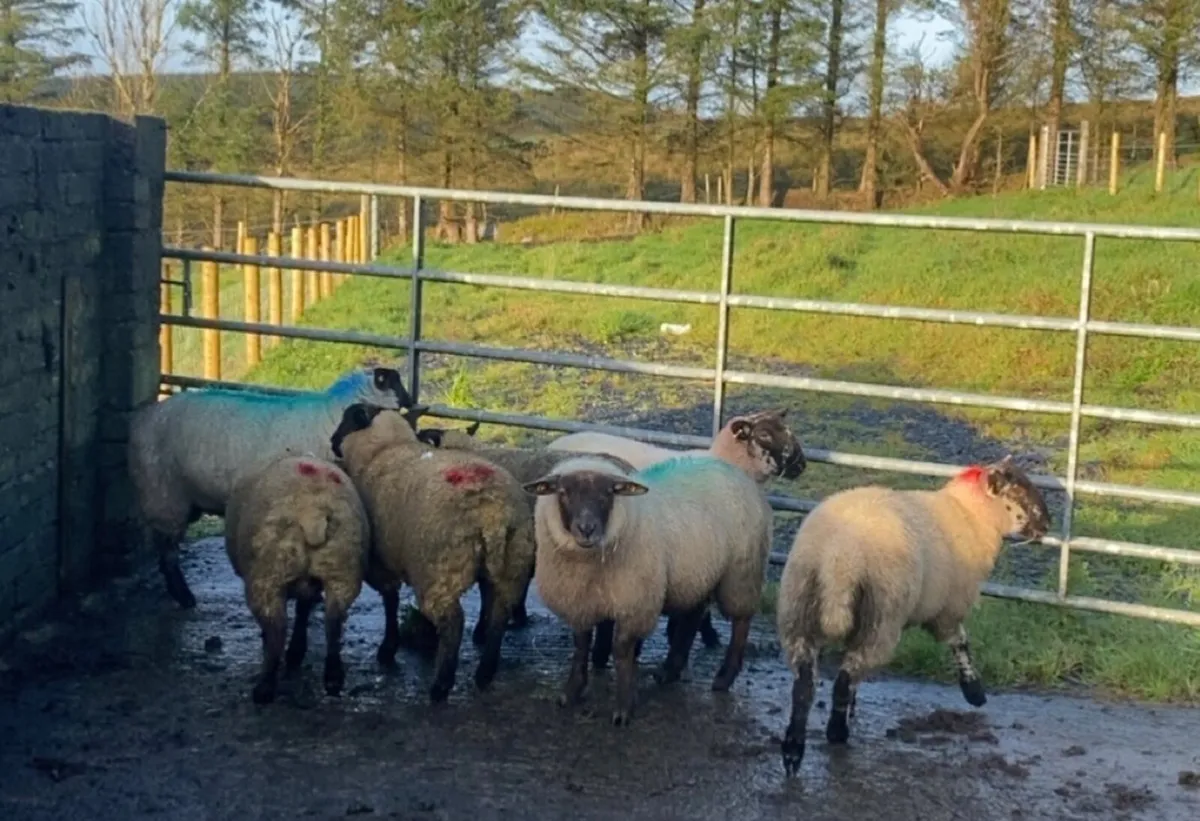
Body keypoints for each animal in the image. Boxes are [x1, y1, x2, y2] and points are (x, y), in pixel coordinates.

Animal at [128, 364, 412, 609]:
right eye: (394, 383)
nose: (410, 401)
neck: (328, 418)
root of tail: (143, 418)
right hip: (164, 494)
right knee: (168, 553)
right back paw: (184, 596)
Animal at [224, 454, 370, 704]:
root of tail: (314, 511)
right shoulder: (310, 585)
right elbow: (303, 611)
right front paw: (298, 649)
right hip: (341, 570)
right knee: (333, 623)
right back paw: (332, 677)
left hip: (269, 574)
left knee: (276, 629)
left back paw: (265, 687)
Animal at [330, 402, 536, 703]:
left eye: (347, 420)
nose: (332, 441)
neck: (385, 448)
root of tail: (494, 513)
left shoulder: (379, 560)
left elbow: (390, 601)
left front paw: (388, 649)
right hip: (513, 562)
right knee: (499, 612)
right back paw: (484, 673)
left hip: (438, 569)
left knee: (453, 622)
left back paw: (441, 685)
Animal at [525, 452, 774, 725]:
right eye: (563, 492)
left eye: (608, 494)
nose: (587, 529)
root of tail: (734, 470)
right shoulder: (579, 602)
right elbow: (580, 646)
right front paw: (571, 693)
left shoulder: (635, 603)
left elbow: (622, 651)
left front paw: (624, 707)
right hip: (697, 573)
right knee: (693, 616)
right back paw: (670, 671)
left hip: (741, 572)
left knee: (741, 622)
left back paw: (724, 678)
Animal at [774, 456, 1051, 775]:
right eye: (1018, 492)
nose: (1047, 524)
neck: (970, 517)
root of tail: (840, 559)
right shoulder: (948, 608)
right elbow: (960, 642)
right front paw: (974, 691)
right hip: (882, 616)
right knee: (843, 679)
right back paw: (836, 733)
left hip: (798, 606)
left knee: (805, 685)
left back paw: (793, 752)